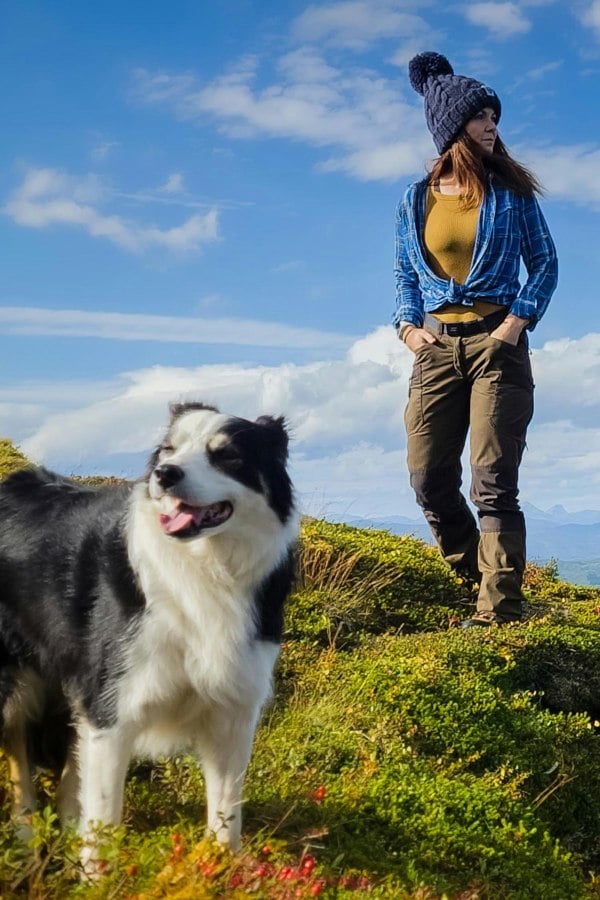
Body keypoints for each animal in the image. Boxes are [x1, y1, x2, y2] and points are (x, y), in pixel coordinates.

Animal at [0, 404, 298, 868]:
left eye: (227, 455)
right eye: (168, 449)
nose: (165, 474)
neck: (205, 569)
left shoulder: (232, 712)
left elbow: (226, 816)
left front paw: (219, 872)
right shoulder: (114, 708)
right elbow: (105, 816)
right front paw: (96, 878)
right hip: (17, 678)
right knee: (18, 748)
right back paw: (26, 835)